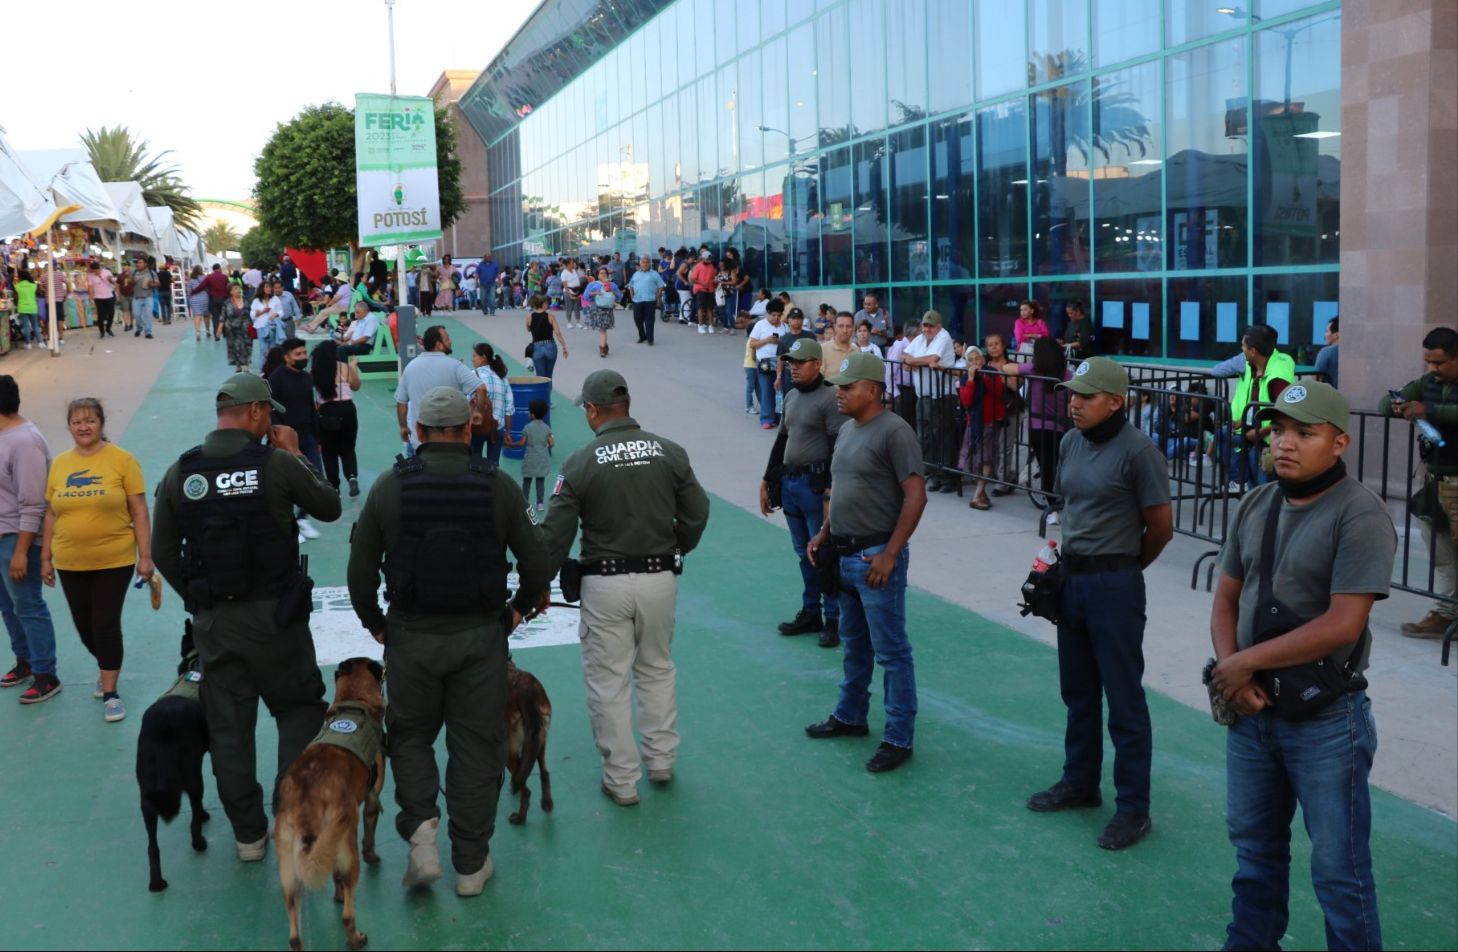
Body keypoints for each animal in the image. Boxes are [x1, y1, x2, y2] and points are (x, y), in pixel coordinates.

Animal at [137, 623, 211, 892]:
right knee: (194, 811)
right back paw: (199, 842)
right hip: (192, 775)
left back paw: (156, 882)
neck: (195, 665)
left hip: (147, 795)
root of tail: (163, 733)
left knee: (152, 846)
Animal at [274, 661, 384, 950]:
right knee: (347, 914)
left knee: (294, 936)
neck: (354, 701)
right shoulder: (372, 797)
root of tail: (306, 800)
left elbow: (334, 878)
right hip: (348, 853)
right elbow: (371, 830)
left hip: (290, 873)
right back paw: (356, 939)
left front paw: (336, 894)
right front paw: (372, 856)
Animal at [507, 653, 551, 822]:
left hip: (510, 749)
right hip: (539, 741)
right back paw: (547, 804)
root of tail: (527, 693)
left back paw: (519, 818)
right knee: (544, 773)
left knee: (525, 789)